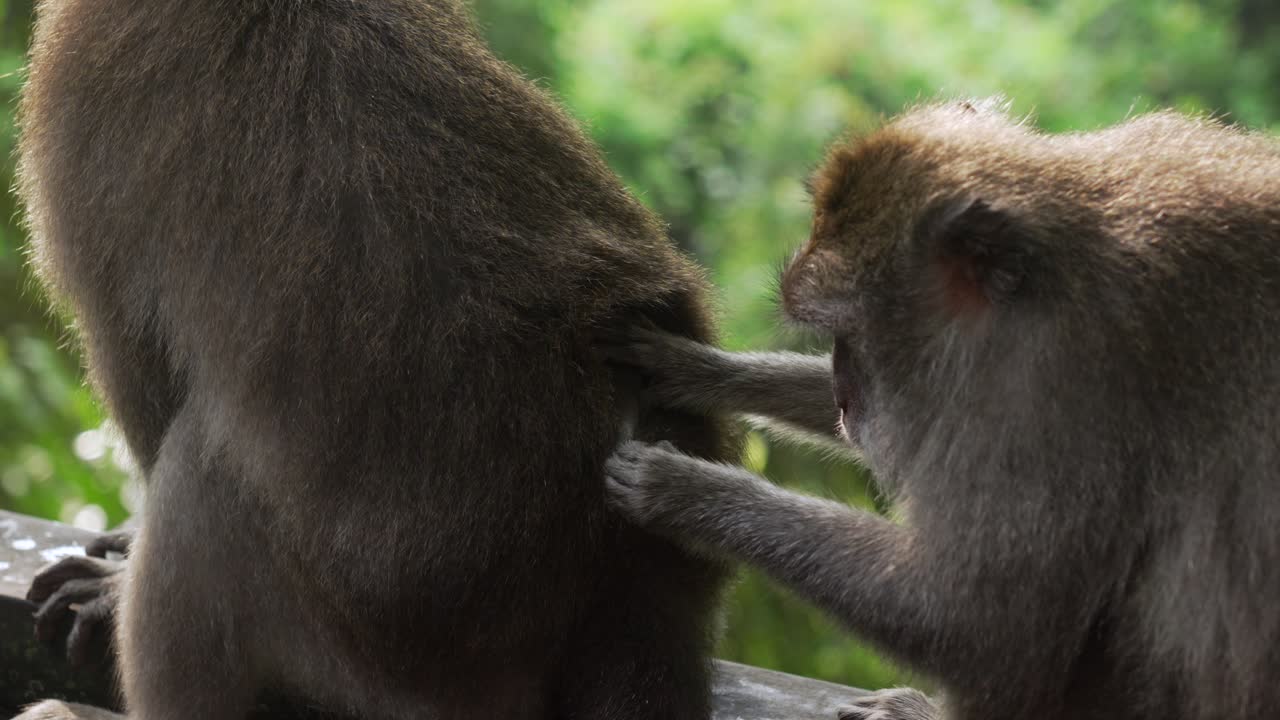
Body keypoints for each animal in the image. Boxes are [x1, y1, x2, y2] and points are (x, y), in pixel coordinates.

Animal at [15, 0, 739, 718]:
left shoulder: (78, 71)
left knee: (200, 482)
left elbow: (136, 367)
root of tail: (626, 580)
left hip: (382, 664)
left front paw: (116, 573)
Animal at [603, 99, 1280, 720]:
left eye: (852, 329)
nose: (845, 397)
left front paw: (686, 490)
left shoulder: (1066, 387)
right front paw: (693, 367)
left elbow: (975, 622)